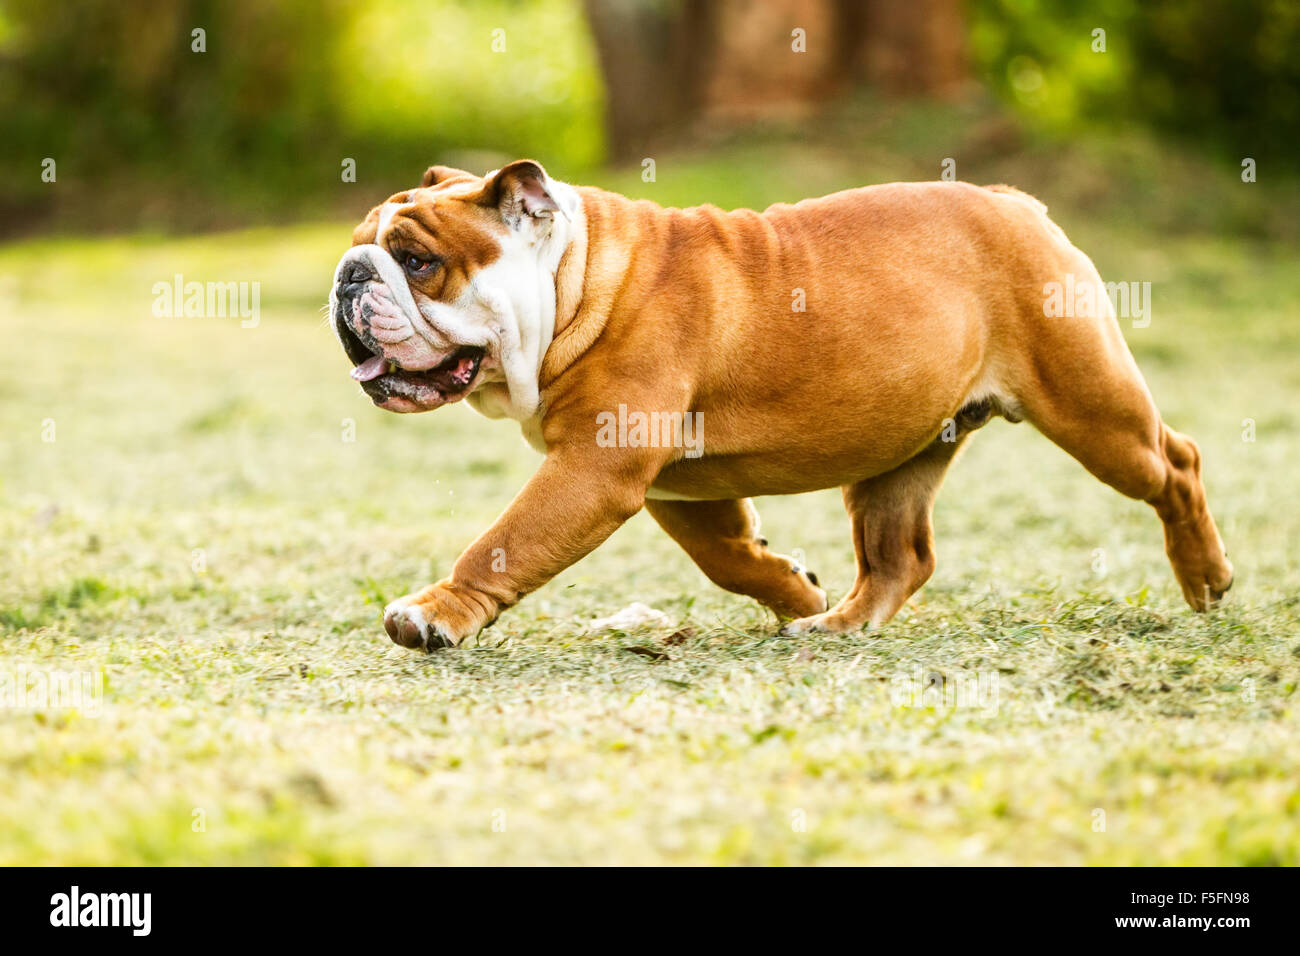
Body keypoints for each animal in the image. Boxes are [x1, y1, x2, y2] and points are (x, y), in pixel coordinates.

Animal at [330, 162, 1232, 650]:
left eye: (417, 262)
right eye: (359, 247)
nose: (348, 276)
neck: (578, 279)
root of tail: (1018, 202)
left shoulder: (595, 468)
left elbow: (503, 544)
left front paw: (435, 614)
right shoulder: (671, 487)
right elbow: (729, 557)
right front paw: (797, 590)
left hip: (1091, 411)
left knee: (1176, 462)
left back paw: (1206, 578)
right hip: (897, 459)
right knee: (900, 557)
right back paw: (835, 625)